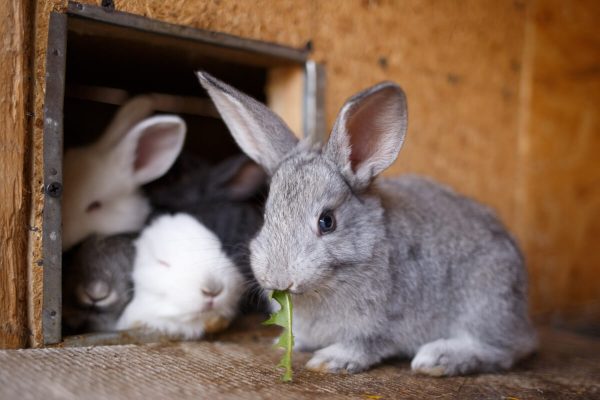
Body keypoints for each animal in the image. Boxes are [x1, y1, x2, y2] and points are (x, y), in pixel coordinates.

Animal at [198, 72, 540, 378]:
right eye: (267, 216)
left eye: (327, 222)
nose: (280, 280)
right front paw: (288, 343)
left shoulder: (383, 325)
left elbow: (366, 345)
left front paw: (331, 360)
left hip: (485, 304)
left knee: (504, 351)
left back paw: (438, 359)